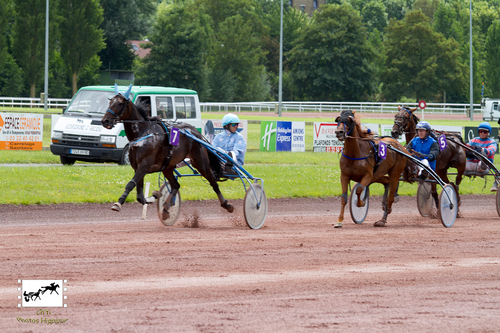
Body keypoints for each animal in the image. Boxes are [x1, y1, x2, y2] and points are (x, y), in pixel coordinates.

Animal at [101, 83, 236, 218]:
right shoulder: (137, 167)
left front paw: (118, 203)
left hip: (200, 162)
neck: (142, 134)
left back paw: (227, 205)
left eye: (120, 103)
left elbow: (130, 184)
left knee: (213, 182)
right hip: (168, 167)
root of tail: (195, 132)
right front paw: (155, 196)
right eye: (110, 102)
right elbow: (140, 195)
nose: (105, 121)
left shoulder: (144, 165)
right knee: (176, 185)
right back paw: (166, 208)